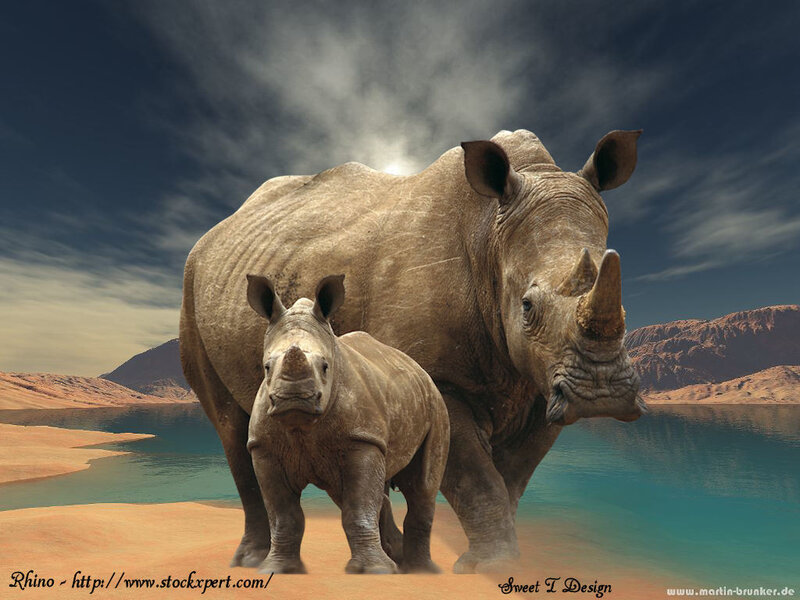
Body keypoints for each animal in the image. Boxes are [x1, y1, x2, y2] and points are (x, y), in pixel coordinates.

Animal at [245, 274, 449, 574]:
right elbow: (284, 518)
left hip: (436, 403)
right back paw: (398, 560)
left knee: (421, 487)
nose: (294, 399)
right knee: (353, 492)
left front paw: (376, 571)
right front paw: (277, 569)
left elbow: (359, 509)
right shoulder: (264, 448)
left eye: (325, 366)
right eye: (267, 367)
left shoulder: (362, 439)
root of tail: (417, 367)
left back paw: (419, 570)